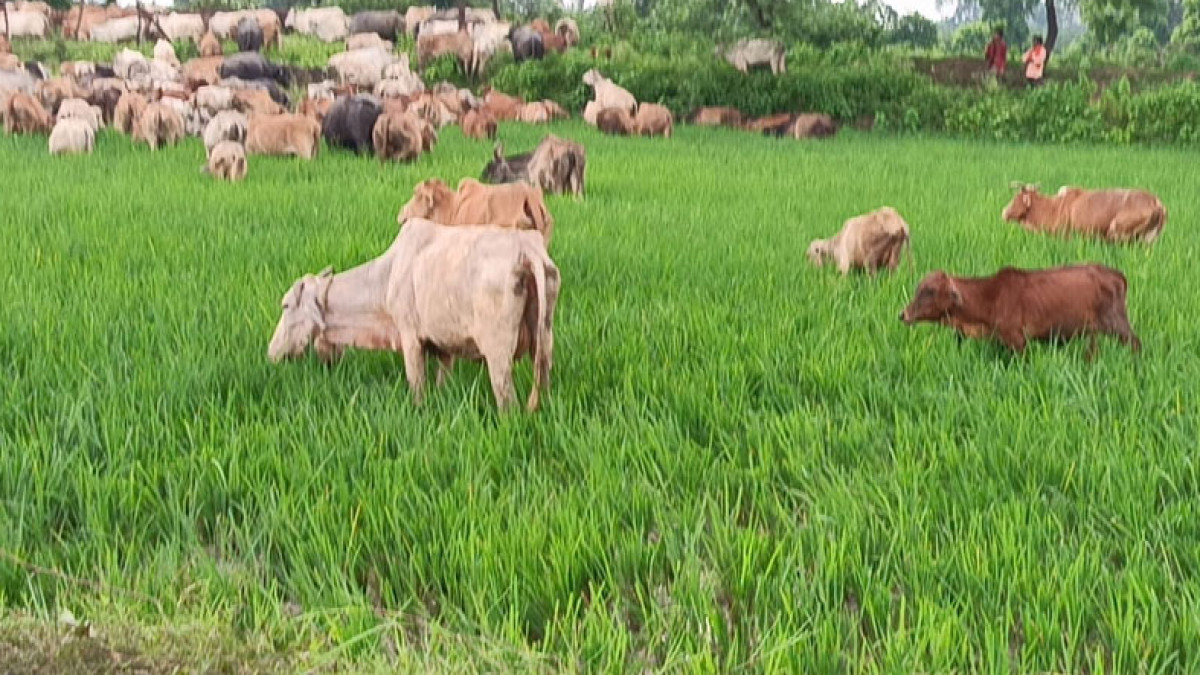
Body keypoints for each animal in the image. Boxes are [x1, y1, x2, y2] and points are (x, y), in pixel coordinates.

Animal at [267, 219, 559, 411]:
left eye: (286, 306)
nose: (271, 353)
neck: (384, 279)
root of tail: (525, 249)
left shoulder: (410, 338)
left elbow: (417, 386)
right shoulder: (444, 345)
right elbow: (442, 381)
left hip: (497, 352)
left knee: (507, 400)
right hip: (544, 340)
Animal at [899, 265, 1141, 357]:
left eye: (929, 290)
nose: (903, 314)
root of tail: (1116, 274)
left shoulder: (1018, 341)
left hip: (1117, 325)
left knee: (1136, 344)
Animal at [1002, 184, 1167, 245]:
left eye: (1016, 198)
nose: (1004, 212)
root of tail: (1157, 204)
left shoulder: (1066, 236)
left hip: (1118, 231)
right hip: (1149, 239)